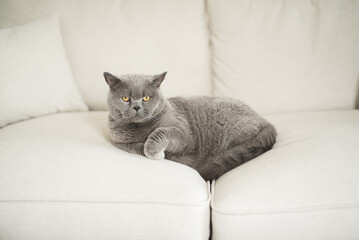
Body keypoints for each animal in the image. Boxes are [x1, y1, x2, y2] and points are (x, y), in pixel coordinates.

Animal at [102, 71, 278, 180]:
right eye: (125, 98)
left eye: (146, 98)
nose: (137, 107)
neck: (141, 129)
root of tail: (265, 121)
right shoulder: (119, 141)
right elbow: (135, 147)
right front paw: (156, 152)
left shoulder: (183, 134)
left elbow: (162, 132)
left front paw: (154, 150)